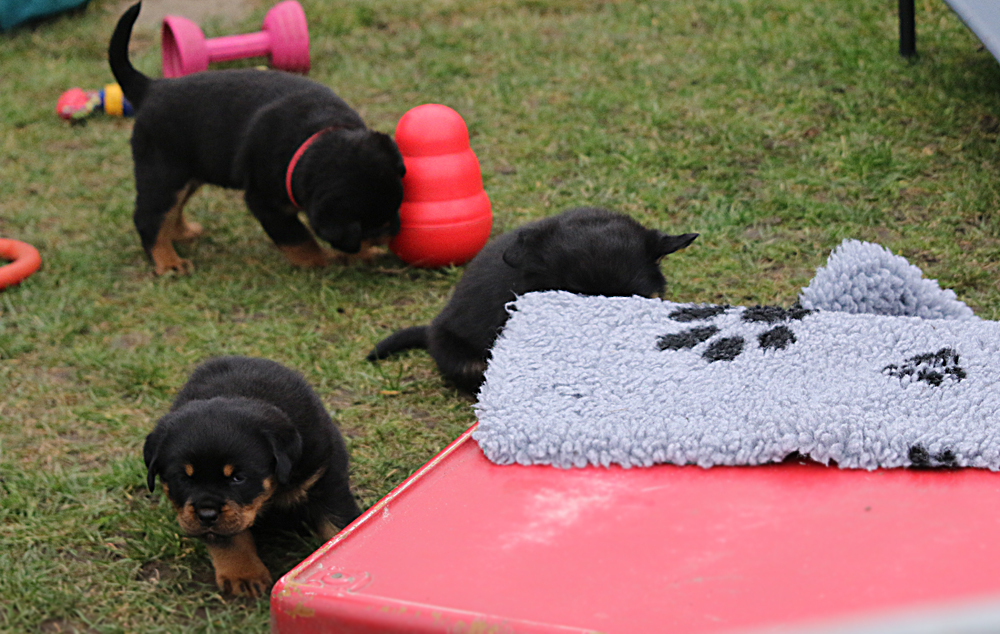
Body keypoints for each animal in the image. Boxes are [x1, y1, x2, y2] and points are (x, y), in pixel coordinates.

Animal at [109, 3, 405, 275]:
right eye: (374, 225)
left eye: (398, 207)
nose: (395, 232)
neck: (316, 137)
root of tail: (151, 87)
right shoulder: (265, 203)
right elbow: (298, 239)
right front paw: (323, 262)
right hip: (163, 173)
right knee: (149, 217)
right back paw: (169, 262)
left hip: (189, 174)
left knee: (173, 209)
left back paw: (183, 232)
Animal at [143, 356, 362, 597]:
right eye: (183, 478)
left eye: (238, 478)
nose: (206, 514)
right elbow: (229, 539)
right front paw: (244, 575)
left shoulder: (322, 480)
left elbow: (337, 525)